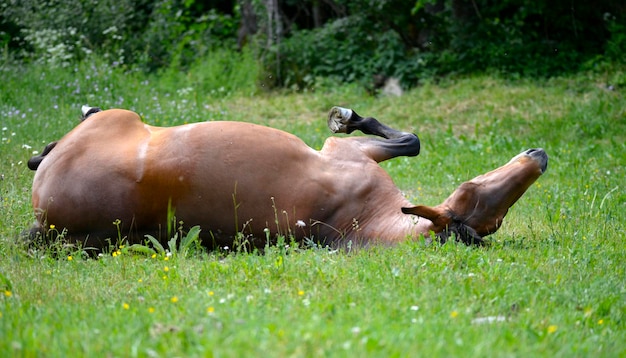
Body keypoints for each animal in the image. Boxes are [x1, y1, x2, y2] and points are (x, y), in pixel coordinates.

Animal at [28, 106, 544, 250]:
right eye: (473, 191)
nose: (538, 155)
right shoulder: (351, 154)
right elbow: (411, 140)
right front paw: (346, 116)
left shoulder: (350, 155)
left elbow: (408, 140)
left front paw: (345, 116)